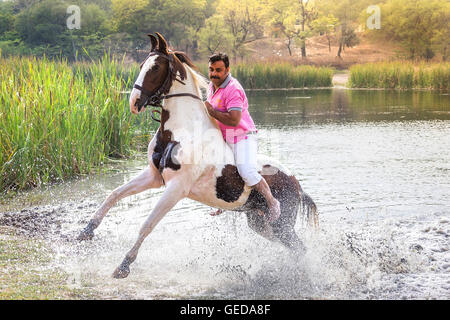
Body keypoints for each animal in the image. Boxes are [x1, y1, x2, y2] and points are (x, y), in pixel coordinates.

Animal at [77, 31, 318, 278]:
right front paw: (86, 231)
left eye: (156, 67)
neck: (178, 132)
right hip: (261, 224)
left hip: (281, 225)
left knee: (300, 248)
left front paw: (124, 265)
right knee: (295, 248)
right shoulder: (153, 176)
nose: (134, 103)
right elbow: (114, 194)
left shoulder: (177, 187)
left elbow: (147, 224)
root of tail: (297, 185)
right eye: (142, 65)